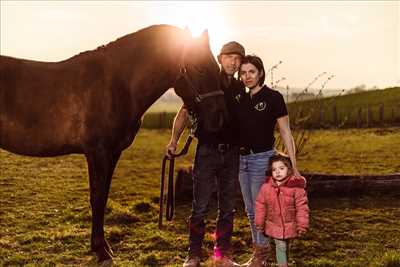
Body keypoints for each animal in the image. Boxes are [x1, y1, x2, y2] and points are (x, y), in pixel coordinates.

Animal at [0, 24, 225, 264]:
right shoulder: (97, 153)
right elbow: (97, 198)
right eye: (200, 69)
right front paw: (101, 250)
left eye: (216, 67)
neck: (117, 84)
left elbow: (104, 196)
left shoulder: (113, 153)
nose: (220, 117)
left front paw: (102, 246)